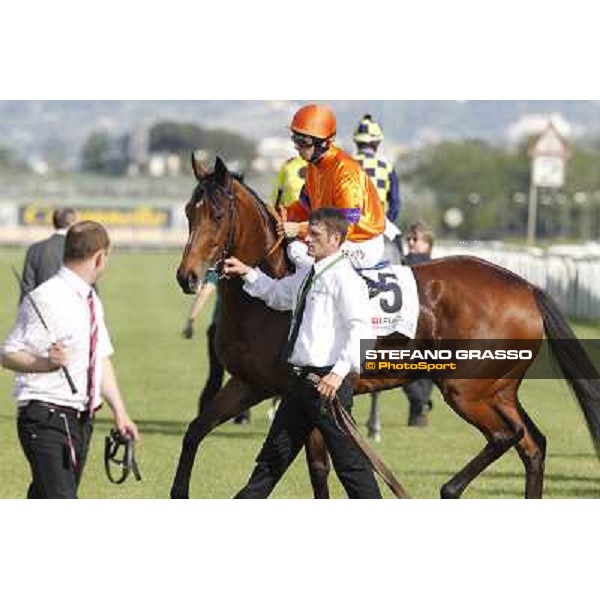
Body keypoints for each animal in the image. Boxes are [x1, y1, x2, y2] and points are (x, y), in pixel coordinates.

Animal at [171, 154, 600, 496]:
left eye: (218, 215)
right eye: (189, 212)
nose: (187, 277)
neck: (269, 295)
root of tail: (526, 287)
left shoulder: (306, 393)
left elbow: (318, 467)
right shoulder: (251, 383)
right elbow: (196, 429)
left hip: (466, 389)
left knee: (505, 436)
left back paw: (450, 488)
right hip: (498, 390)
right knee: (532, 444)